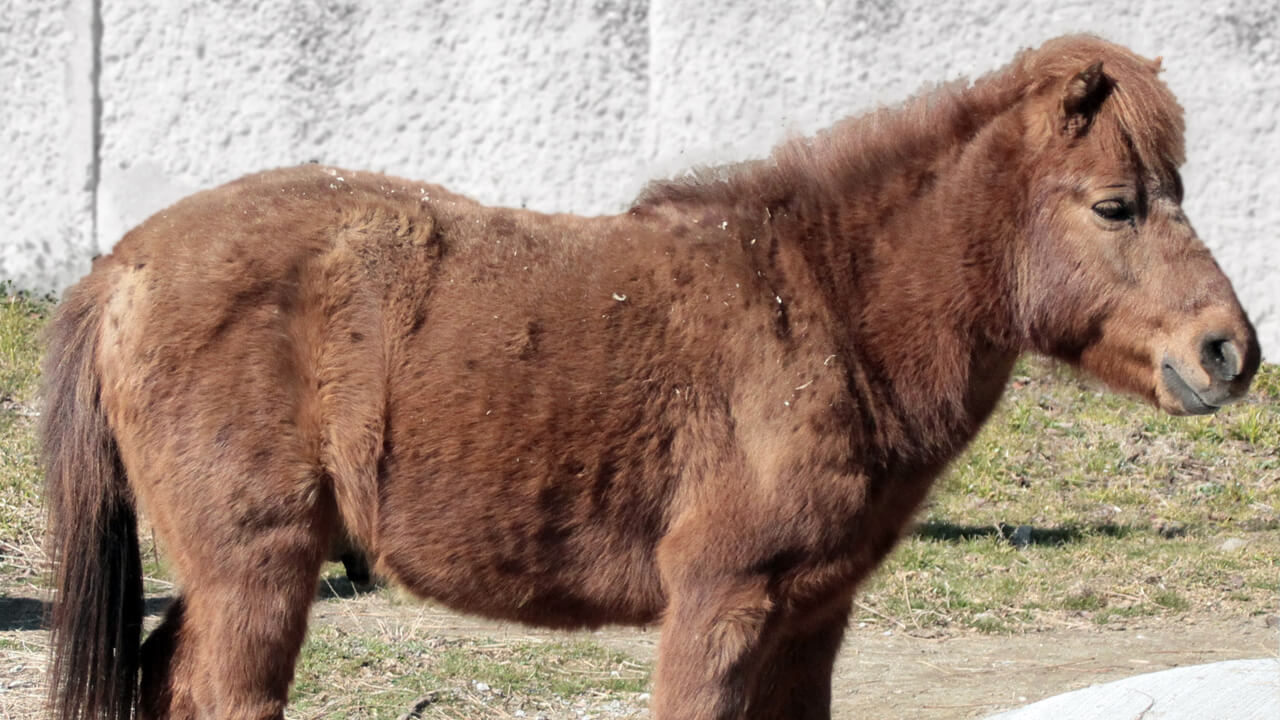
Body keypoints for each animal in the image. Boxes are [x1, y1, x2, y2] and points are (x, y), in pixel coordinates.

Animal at [42, 35, 1259, 717]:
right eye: (1115, 204)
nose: (1227, 351)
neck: (824, 310)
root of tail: (123, 268)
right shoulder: (719, 601)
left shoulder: (811, 618)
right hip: (258, 569)